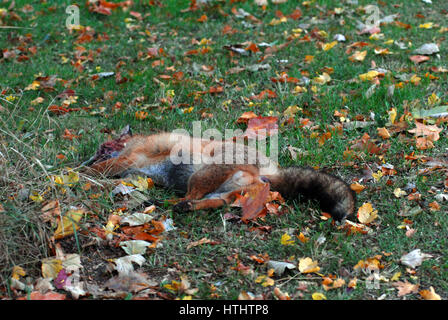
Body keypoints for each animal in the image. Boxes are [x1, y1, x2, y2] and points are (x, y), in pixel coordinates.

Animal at [79, 126, 354, 221]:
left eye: (102, 148)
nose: (85, 157)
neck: (134, 143)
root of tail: (269, 170)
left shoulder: (130, 159)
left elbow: (100, 170)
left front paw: (78, 172)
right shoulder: (136, 173)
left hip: (201, 176)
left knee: (192, 196)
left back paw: (170, 203)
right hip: (225, 193)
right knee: (213, 202)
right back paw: (180, 206)